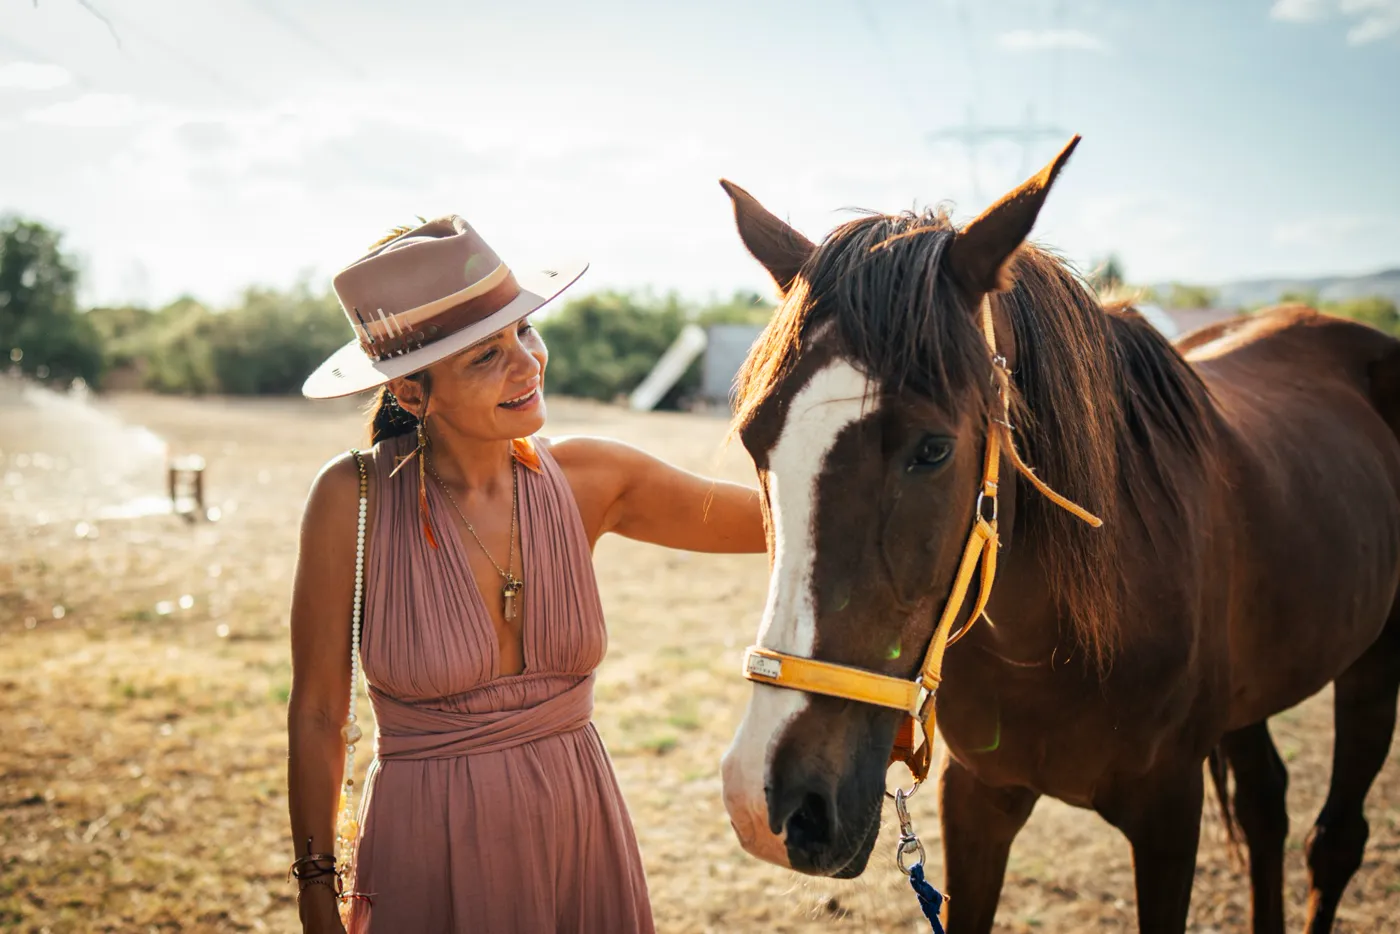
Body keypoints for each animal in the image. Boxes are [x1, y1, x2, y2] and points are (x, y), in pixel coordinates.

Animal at [716, 137, 1400, 933]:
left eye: (932, 449)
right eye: (754, 442)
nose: (766, 799)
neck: (1058, 644)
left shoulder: (1170, 812)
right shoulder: (976, 797)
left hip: (1373, 665)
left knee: (1335, 840)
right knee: (1267, 807)